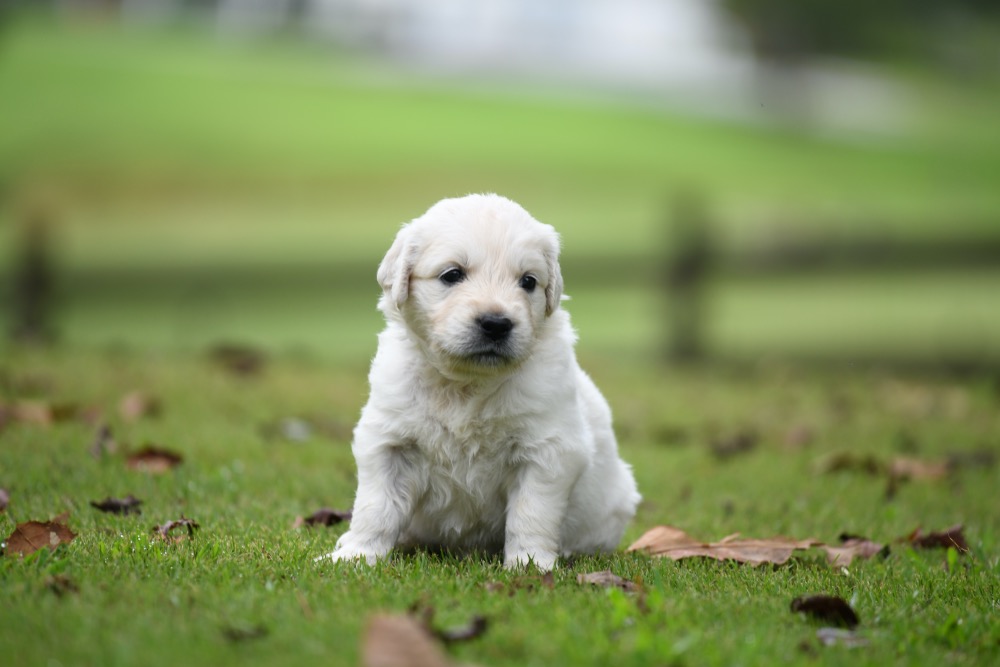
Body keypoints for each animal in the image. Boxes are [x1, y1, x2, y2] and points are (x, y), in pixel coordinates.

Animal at [324, 196, 644, 572]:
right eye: (452, 275)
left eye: (528, 281)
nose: (496, 323)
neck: (466, 384)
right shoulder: (390, 442)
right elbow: (376, 507)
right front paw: (356, 555)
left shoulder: (548, 450)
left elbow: (531, 513)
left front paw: (530, 564)